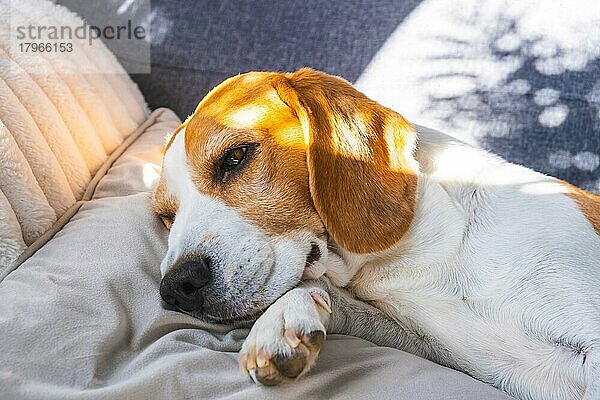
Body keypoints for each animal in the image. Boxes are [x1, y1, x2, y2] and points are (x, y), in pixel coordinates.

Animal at [155, 67, 600, 398]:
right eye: (166, 216)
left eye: (235, 157)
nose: (175, 286)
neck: (430, 254)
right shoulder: (423, 342)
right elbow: (319, 290)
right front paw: (280, 320)